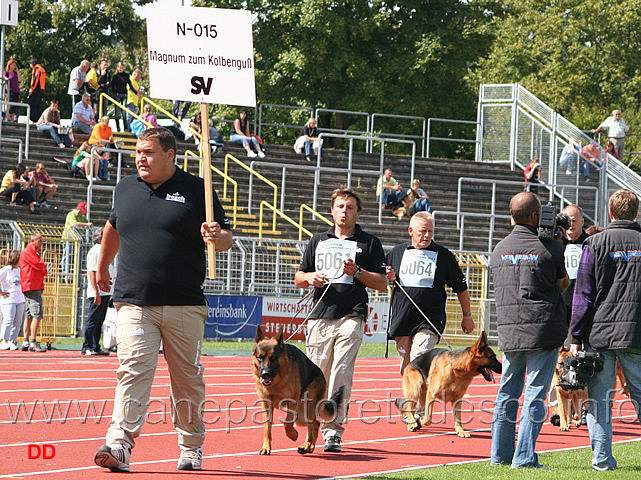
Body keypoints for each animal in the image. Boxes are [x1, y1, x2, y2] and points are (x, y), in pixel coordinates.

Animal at [251, 324, 344, 456]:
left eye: (273, 358)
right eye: (260, 357)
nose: (265, 374)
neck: (277, 381)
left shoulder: (292, 401)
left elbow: (287, 423)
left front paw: (293, 435)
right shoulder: (266, 404)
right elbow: (267, 428)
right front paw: (266, 447)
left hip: (307, 408)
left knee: (312, 425)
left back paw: (307, 445)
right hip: (302, 416)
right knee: (313, 424)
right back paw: (309, 446)